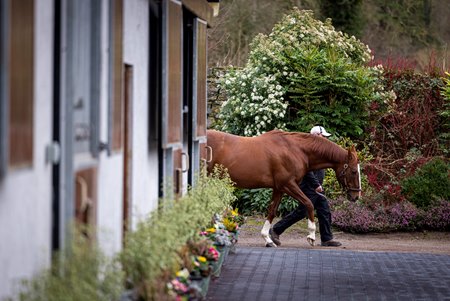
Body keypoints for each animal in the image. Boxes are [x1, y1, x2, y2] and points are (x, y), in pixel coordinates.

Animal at [206, 128, 360, 246]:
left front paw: (268, 239)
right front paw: (311, 236)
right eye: (353, 171)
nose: (356, 196)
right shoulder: (288, 184)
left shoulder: (279, 188)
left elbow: (272, 211)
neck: (295, 150)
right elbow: (309, 203)